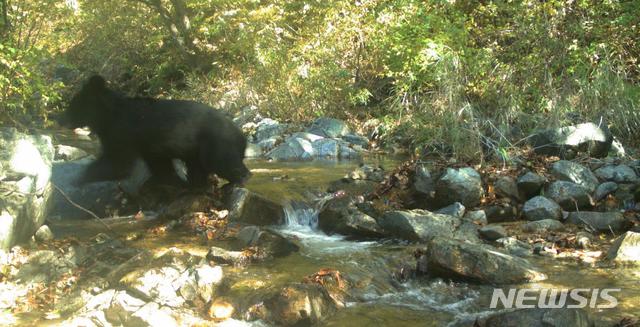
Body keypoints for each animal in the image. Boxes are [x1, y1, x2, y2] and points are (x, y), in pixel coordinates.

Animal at [62, 74, 251, 187]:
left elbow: (117, 162)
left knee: (222, 162)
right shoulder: (149, 146)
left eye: (73, 105)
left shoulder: (122, 132)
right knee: (199, 167)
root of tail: (242, 135)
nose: (60, 118)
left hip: (216, 143)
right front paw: (168, 180)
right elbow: (159, 165)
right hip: (196, 150)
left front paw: (78, 179)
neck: (106, 117)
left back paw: (240, 179)